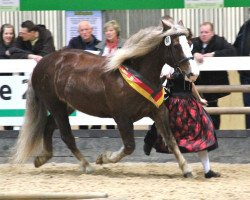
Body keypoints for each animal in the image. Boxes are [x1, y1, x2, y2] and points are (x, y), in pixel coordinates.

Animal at [11, 18, 199, 177]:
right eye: (176, 45)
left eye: (189, 43)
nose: (193, 73)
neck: (136, 74)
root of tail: (41, 63)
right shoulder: (122, 117)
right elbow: (129, 147)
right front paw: (102, 158)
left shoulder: (158, 111)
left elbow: (171, 140)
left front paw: (187, 169)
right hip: (55, 105)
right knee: (66, 136)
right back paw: (86, 165)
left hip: (66, 106)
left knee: (49, 127)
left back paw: (41, 158)